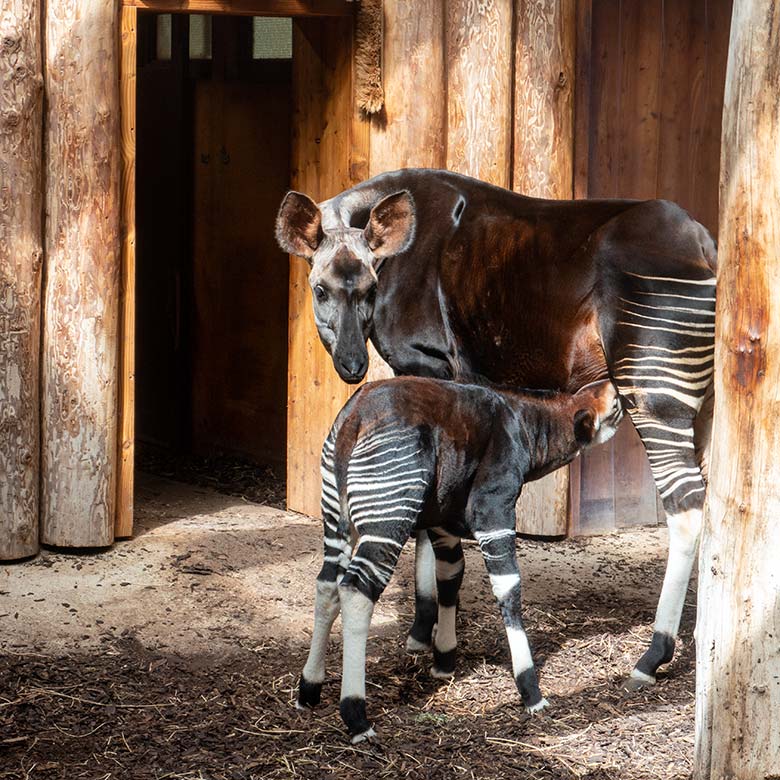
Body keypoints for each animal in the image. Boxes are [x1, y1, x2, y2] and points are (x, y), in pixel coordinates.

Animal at [298, 378, 620, 744]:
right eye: (615, 404)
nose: (614, 383)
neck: (527, 426)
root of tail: (355, 416)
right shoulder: (493, 508)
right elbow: (508, 588)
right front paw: (530, 691)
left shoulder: (443, 519)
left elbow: (450, 576)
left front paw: (443, 661)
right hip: (388, 514)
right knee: (355, 590)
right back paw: (356, 716)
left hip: (337, 515)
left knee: (327, 583)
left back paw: (309, 688)